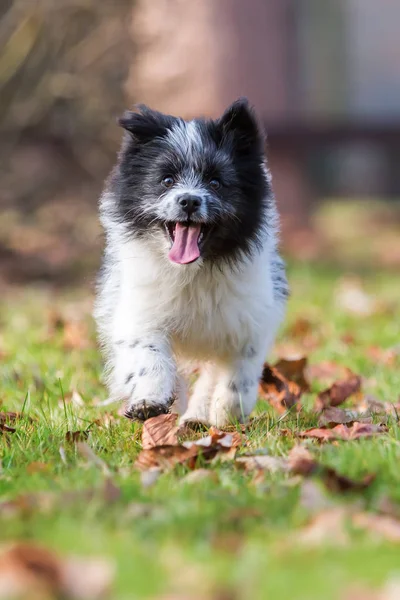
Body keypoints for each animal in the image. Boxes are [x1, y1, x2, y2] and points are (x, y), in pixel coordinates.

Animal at [94, 99, 288, 426]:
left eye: (215, 182)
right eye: (167, 180)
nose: (189, 200)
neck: (192, 273)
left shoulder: (251, 321)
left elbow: (240, 373)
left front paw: (226, 412)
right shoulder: (140, 312)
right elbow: (149, 354)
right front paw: (149, 400)